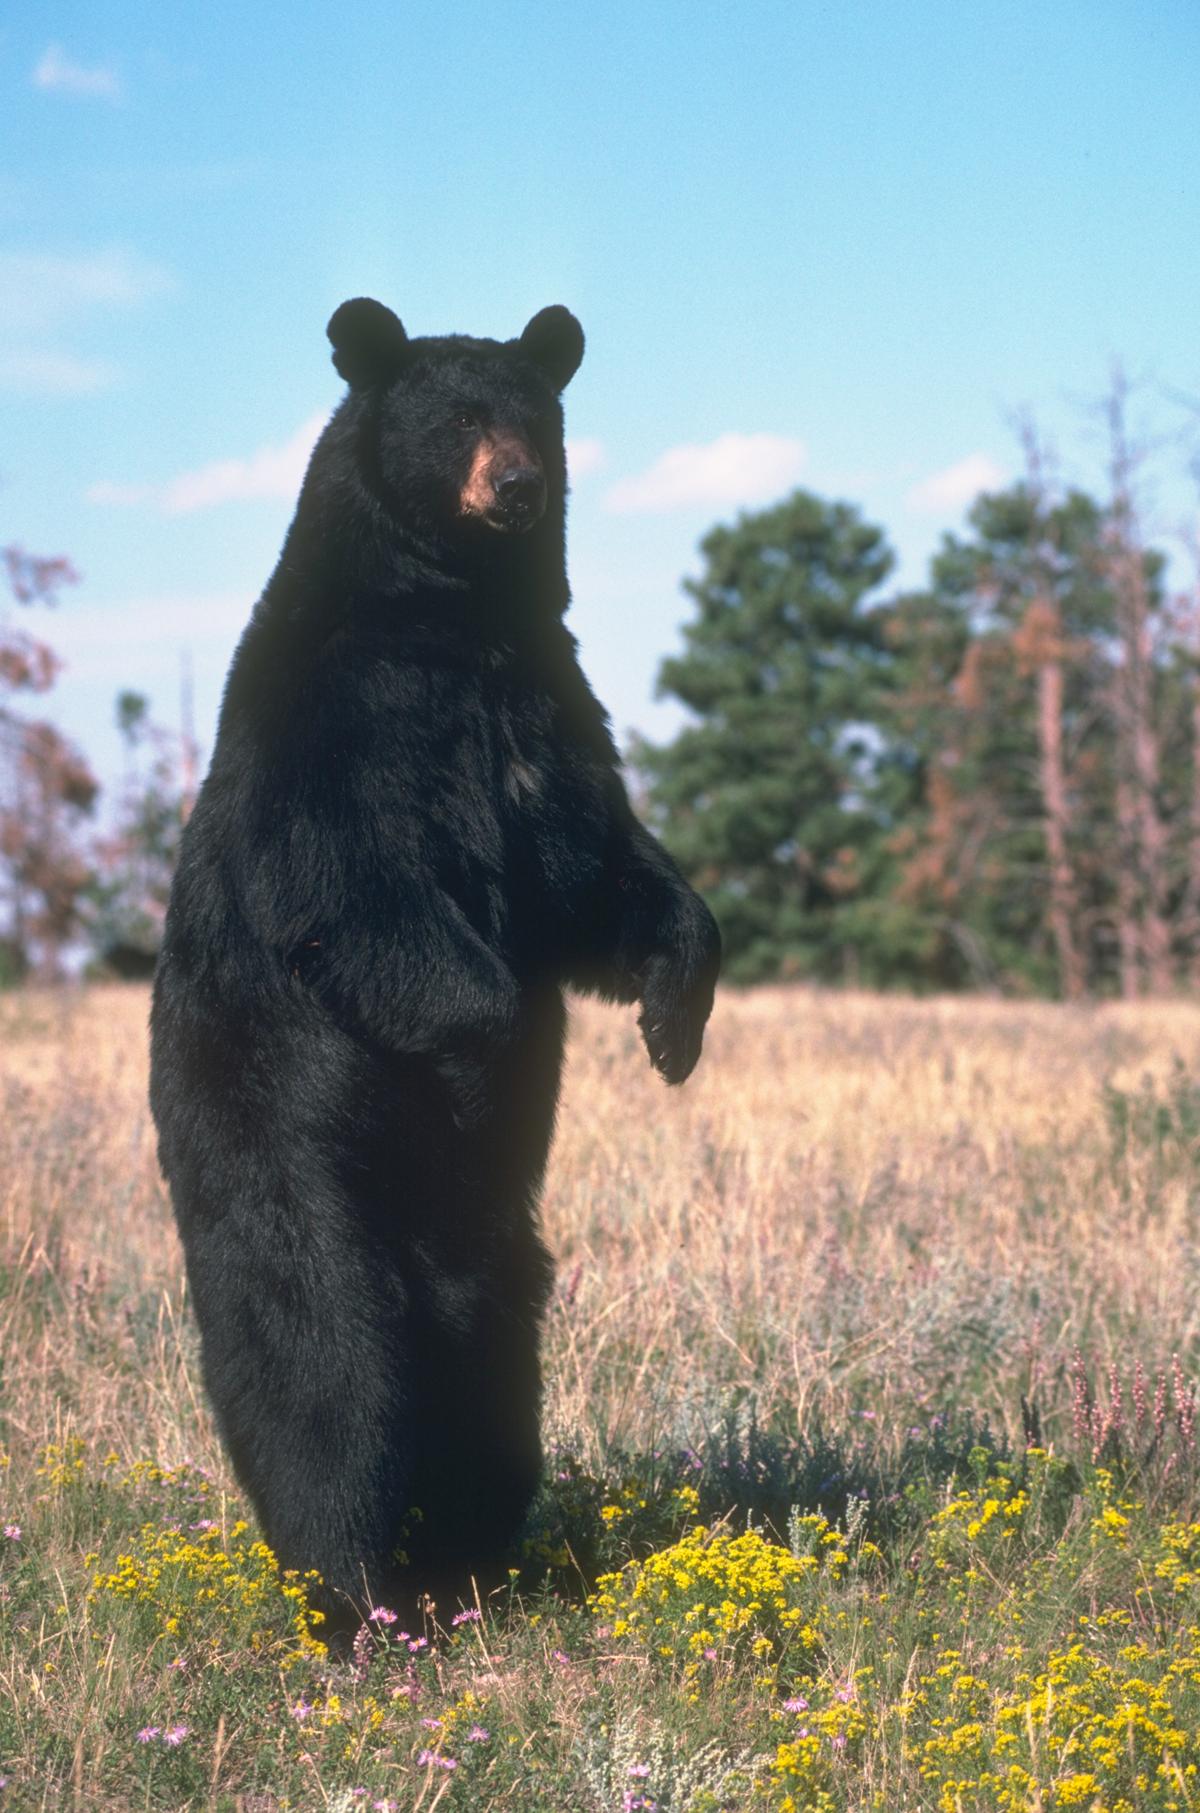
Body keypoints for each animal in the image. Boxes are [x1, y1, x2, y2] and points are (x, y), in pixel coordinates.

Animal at [148, 297, 721, 1628]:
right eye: (457, 419)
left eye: (534, 415)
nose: (515, 486)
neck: (458, 623)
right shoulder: (339, 728)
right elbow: (371, 904)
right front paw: (494, 1062)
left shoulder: (547, 706)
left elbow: (595, 868)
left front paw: (673, 1020)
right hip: (290, 1169)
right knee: (326, 1364)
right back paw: (355, 1590)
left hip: (500, 1280)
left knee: (489, 1380)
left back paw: (471, 1559)